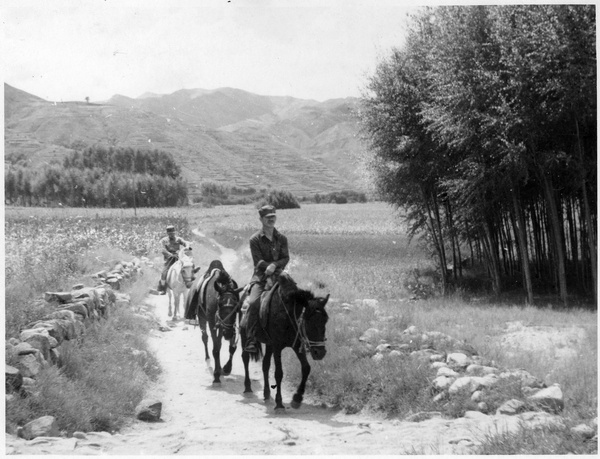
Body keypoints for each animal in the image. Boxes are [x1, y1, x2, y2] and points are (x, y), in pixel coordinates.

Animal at [241, 274, 330, 414]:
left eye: (325, 320)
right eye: (308, 321)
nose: (320, 353)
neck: (287, 315)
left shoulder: (296, 346)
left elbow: (306, 368)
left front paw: (297, 399)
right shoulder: (277, 347)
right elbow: (279, 373)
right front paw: (279, 404)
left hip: (269, 345)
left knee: (265, 365)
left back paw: (267, 394)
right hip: (244, 336)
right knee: (245, 358)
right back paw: (248, 388)